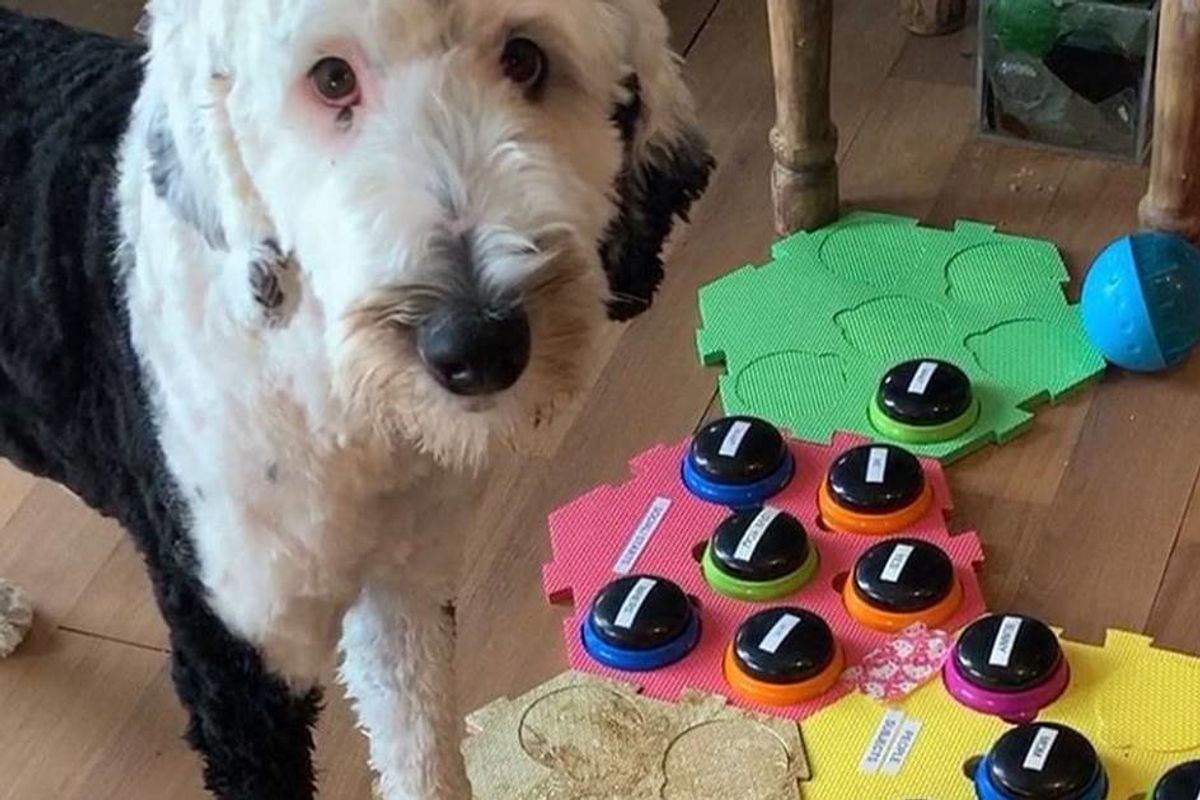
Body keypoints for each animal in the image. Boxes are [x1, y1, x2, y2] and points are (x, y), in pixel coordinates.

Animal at [0, 6, 705, 800]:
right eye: (332, 78)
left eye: (525, 59)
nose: (477, 344)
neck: (338, 408)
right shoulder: (238, 653)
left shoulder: (404, 588)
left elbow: (420, 756)